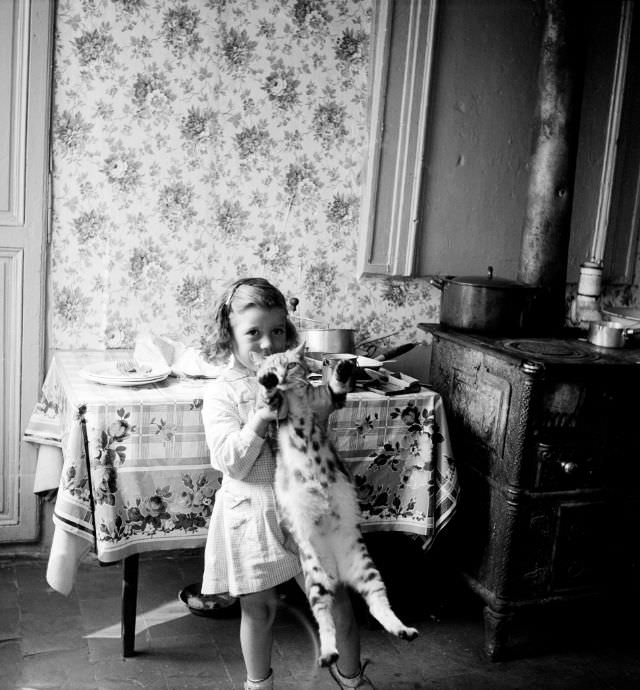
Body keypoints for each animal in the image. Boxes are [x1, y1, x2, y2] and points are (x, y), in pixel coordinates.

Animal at [256, 344, 420, 668]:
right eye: (273, 367)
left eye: (291, 365)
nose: (279, 376)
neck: (296, 398)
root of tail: (337, 569)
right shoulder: (276, 410)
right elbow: (270, 398)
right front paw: (268, 383)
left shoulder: (329, 397)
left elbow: (336, 387)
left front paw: (343, 366)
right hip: (315, 579)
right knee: (324, 620)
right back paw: (328, 653)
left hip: (366, 568)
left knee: (377, 604)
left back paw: (402, 629)